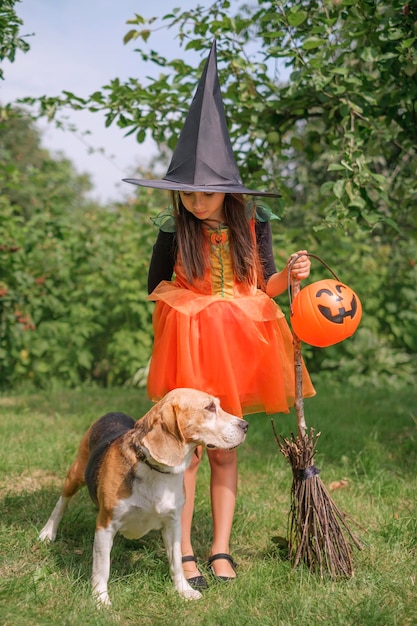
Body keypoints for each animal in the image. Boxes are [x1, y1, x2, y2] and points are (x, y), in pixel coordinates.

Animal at [38, 388, 247, 604]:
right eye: (210, 407)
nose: (245, 425)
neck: (155, 470)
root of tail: (113, 412)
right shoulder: (106, 525)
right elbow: (102, 568)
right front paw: (101, 599)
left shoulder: (173, 524)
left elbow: (177, 563)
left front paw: (184, 591)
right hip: (76, 474)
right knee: (62, 502)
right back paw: (48, 532)